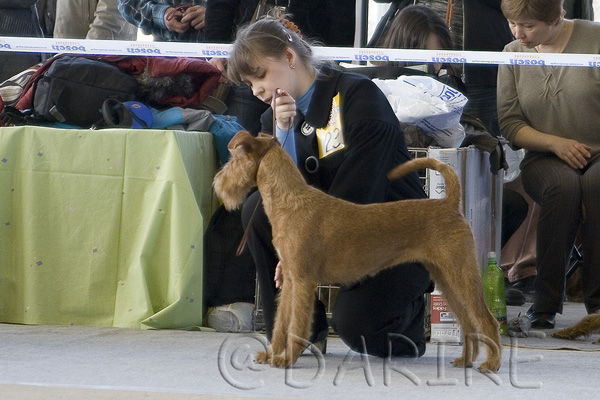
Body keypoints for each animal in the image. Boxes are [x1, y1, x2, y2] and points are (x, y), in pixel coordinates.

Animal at [212, 130, 502, 372]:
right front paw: (273, 354)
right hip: (445, 277)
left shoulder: (304, 281)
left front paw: (287, 359)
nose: (217, 182)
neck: (289, 202)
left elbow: (296, 324)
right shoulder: (290, 280)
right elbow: (282, 321)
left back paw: (491, 363)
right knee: (467, 322)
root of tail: (449, 204)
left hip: (461, 272)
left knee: (486, 320)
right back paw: (466, 360)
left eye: (235, 159)